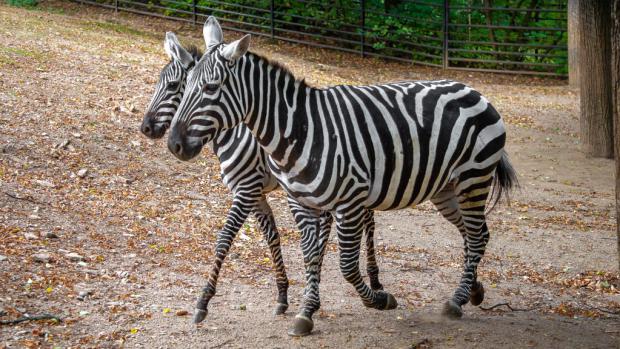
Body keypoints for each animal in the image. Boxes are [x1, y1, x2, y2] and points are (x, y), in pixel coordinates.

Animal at [140, 32, 382, 320]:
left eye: (174, 85)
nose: (145, 128)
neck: (235, 131)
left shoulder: (247, 189)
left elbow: (225, 239)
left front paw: (203, 301)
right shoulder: (256, 195)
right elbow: (272, 237)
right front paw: (283, 295)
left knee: (367, 220)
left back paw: (374, 280)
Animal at [166, 17, 520, 336]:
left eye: (210, 88)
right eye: (185, 86)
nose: (174, 144)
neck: (298, 130)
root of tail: (471, 89)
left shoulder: (347, 201)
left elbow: (347, 266)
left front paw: (379, 299)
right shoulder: (302, 202)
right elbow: (310, 255)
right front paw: (307, 310)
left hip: (473, 179)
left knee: (475, 235)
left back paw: (457, 301)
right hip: (446, 189)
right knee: (477, 234)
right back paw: (474, 291)